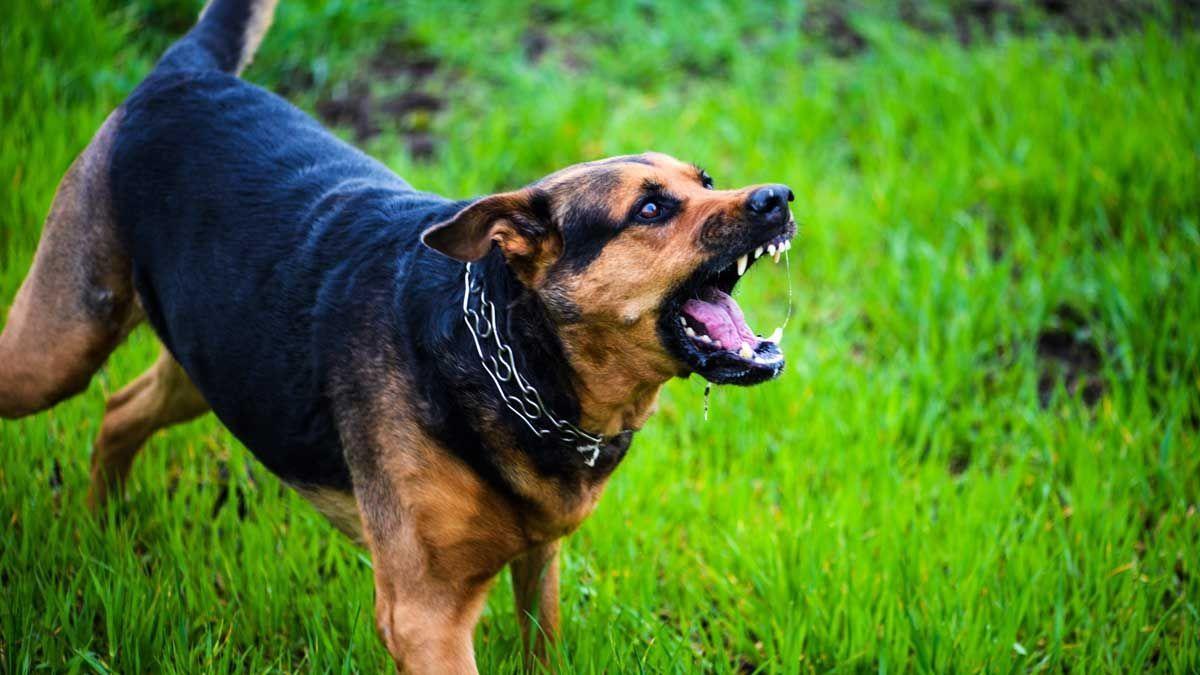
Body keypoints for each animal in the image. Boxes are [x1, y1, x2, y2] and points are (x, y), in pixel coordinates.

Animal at [0, 2, 796, 667]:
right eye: (652, 209)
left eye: (705, 180)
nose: (779, 197)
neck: (514, 360)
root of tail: (183, 72)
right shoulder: (426, 616)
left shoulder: (538, 558)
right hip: (60, 345)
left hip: (216, 361)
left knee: (120, 408)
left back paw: (101, 525)